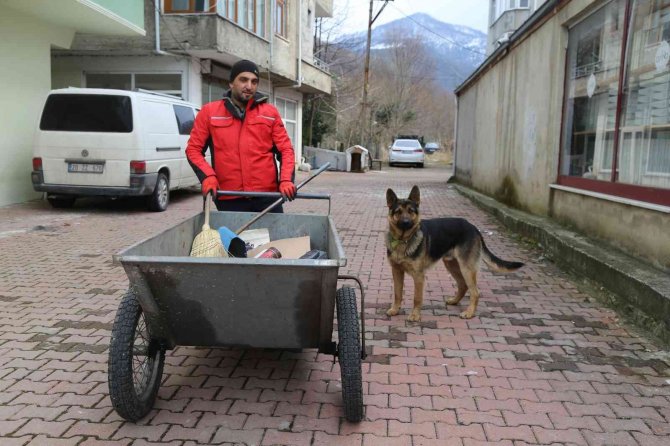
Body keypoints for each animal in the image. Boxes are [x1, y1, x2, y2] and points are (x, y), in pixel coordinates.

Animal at [386, 185, 528, 320]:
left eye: (411, 211)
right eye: (398, 212)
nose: (406, 223)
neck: (403, 240)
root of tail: (473, 227)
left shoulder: (419, 276)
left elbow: (417, 298)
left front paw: (415, 315)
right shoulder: (396, 271)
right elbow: (397, 293)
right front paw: (395, 310)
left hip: (466, 268)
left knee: (475, 292)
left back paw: (469, 313)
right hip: (452, 265)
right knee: (463, 285)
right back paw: (455, 301)